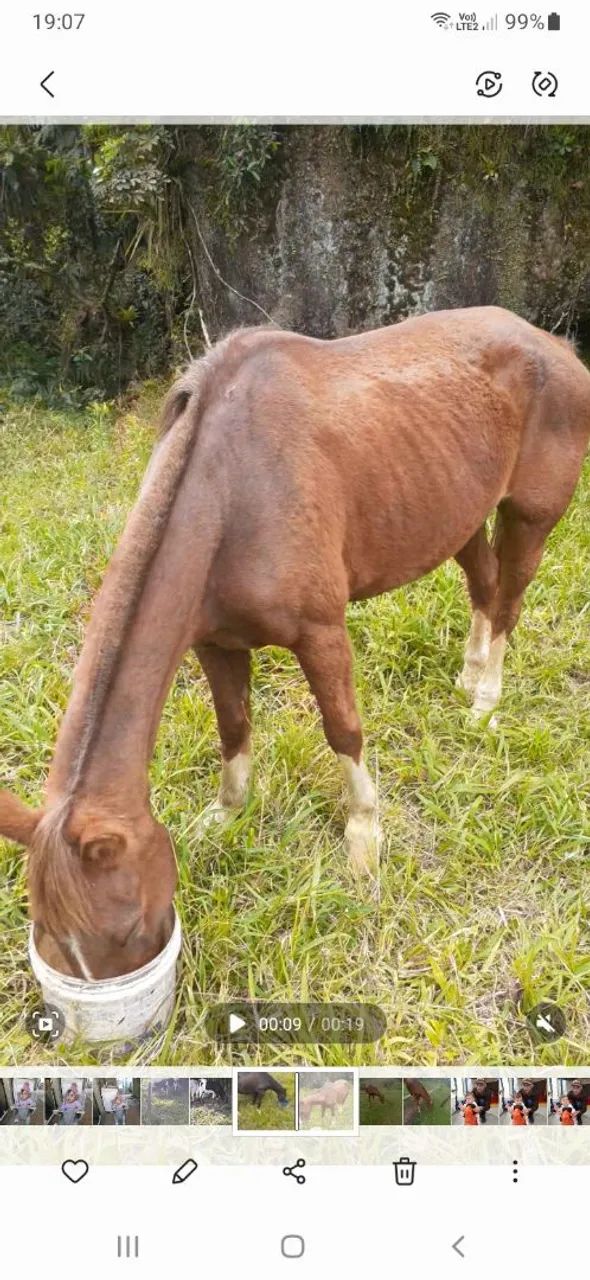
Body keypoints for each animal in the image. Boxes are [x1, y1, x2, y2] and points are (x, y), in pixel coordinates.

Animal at [2, 307, 590, 981]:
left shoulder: (321, 632)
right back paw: (469, 675)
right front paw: (226, 816)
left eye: (124, 929)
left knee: (510, 599)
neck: (233, 492)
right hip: (457, 511)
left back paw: (486, 702)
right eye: (48, 933)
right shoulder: (216, 644)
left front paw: (363, 841)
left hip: (530, 515)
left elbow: (343, 731)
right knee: (485, 587)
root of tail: (552, 343)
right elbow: (234, 729)